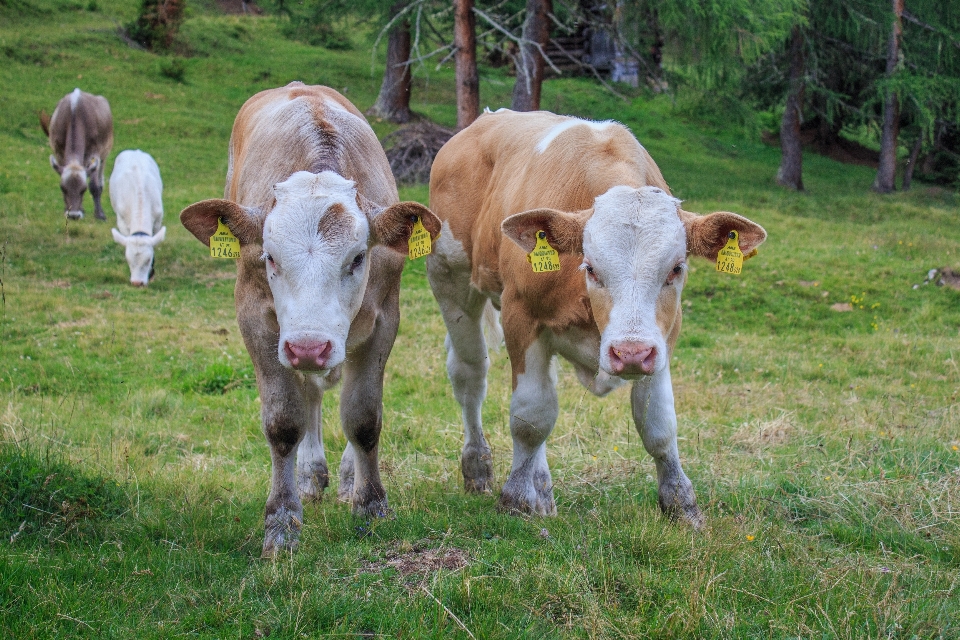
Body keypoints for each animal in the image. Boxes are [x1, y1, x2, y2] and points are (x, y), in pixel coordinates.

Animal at [40, 89, 114, 221]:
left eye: (83, 189)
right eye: (63, 188)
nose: (74, 215)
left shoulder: (94, 152)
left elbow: (94, 186)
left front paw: (99, 214)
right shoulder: (59, 152)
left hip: (104, 154)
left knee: (100, 182)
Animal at [110, 150, 167, 284]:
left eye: (148, 260)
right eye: (128, 259)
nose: (137, 283)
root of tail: (135, 151)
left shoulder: (157, 219)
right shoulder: (122, 222)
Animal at [180, 84, 442, 556]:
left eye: (358, 258)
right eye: (269, 257)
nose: (308, 346)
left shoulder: (383, 322)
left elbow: (363, 417)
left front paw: (370, 505)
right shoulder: (258, 324)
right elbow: (285, 421)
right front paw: (282, 522)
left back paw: (346, 476)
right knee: (311, 393)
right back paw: (309, 472)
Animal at [426, 110, 764, 528]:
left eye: (677, 268)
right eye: (590, 267)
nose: (630, 353)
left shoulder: (662, 340)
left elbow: (658, 424)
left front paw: (681, 504)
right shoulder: (522, 318)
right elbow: (530, 416)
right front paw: (516, 499)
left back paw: (541, 486)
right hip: (450, 280)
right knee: (470, 374)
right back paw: (478, 466)